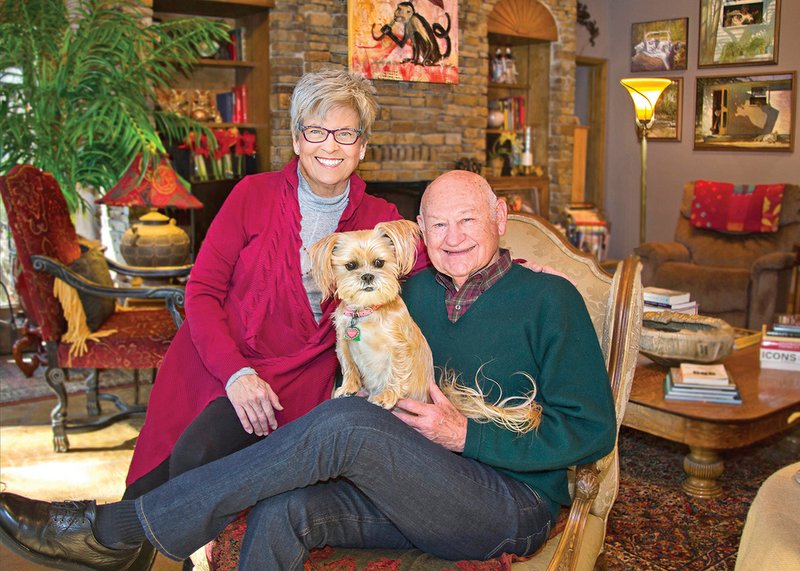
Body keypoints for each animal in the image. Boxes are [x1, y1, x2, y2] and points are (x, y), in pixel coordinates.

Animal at [310, 219, 540, 434]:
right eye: (350, 266)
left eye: (379, 262)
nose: (367, 276)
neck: (367, 312)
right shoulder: (344, 344)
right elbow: (349, 366)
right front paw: (348, 387)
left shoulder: (399, 347)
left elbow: (395, 372)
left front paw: (386, 396)